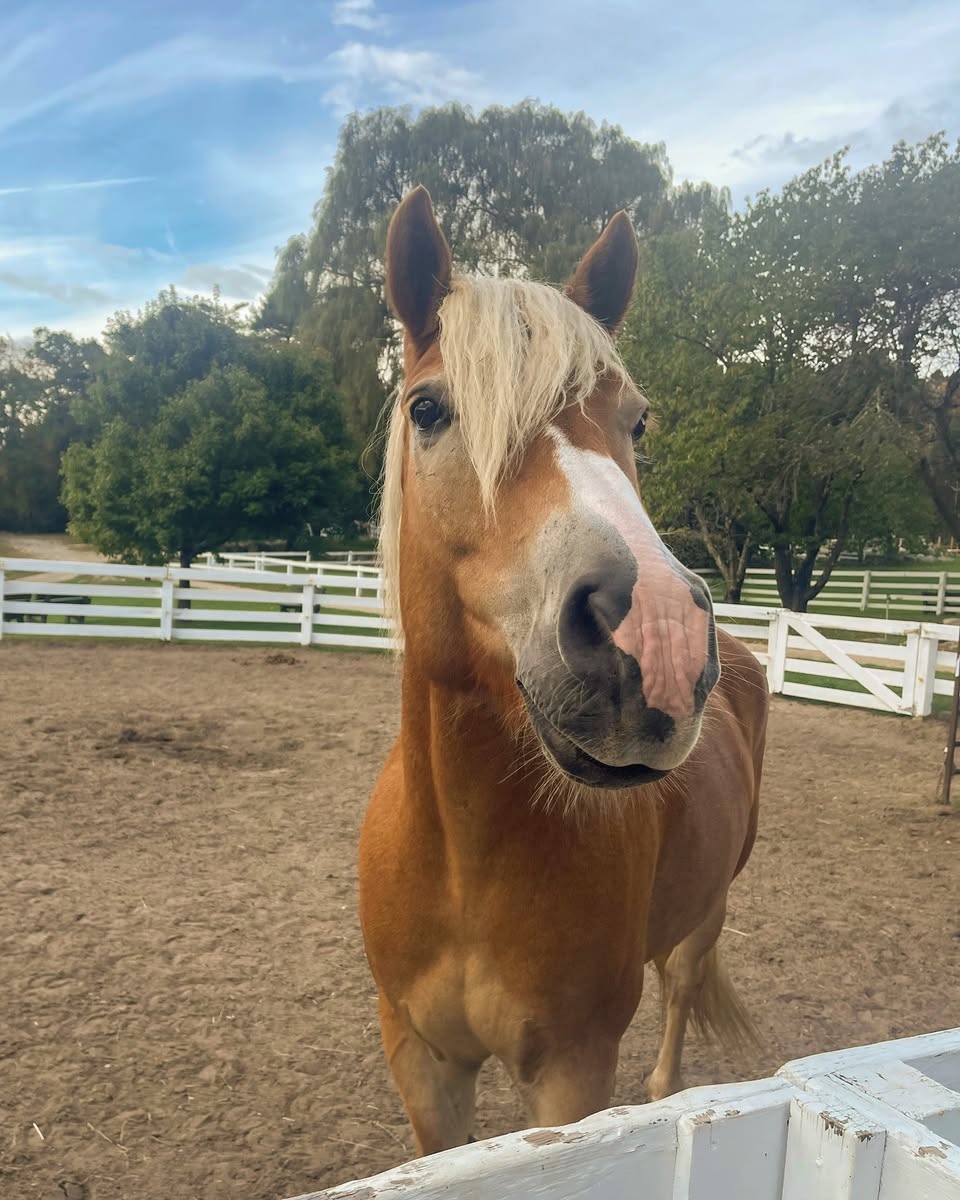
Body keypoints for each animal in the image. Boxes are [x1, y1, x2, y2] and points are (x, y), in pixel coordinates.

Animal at [358, 185, 768, 1156]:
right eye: (428, 410)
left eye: (638, 420)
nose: (658, 634)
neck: (464, 859)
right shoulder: (423, 1062)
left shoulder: (572, 1073)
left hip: (704, 919)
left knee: (680, 997)